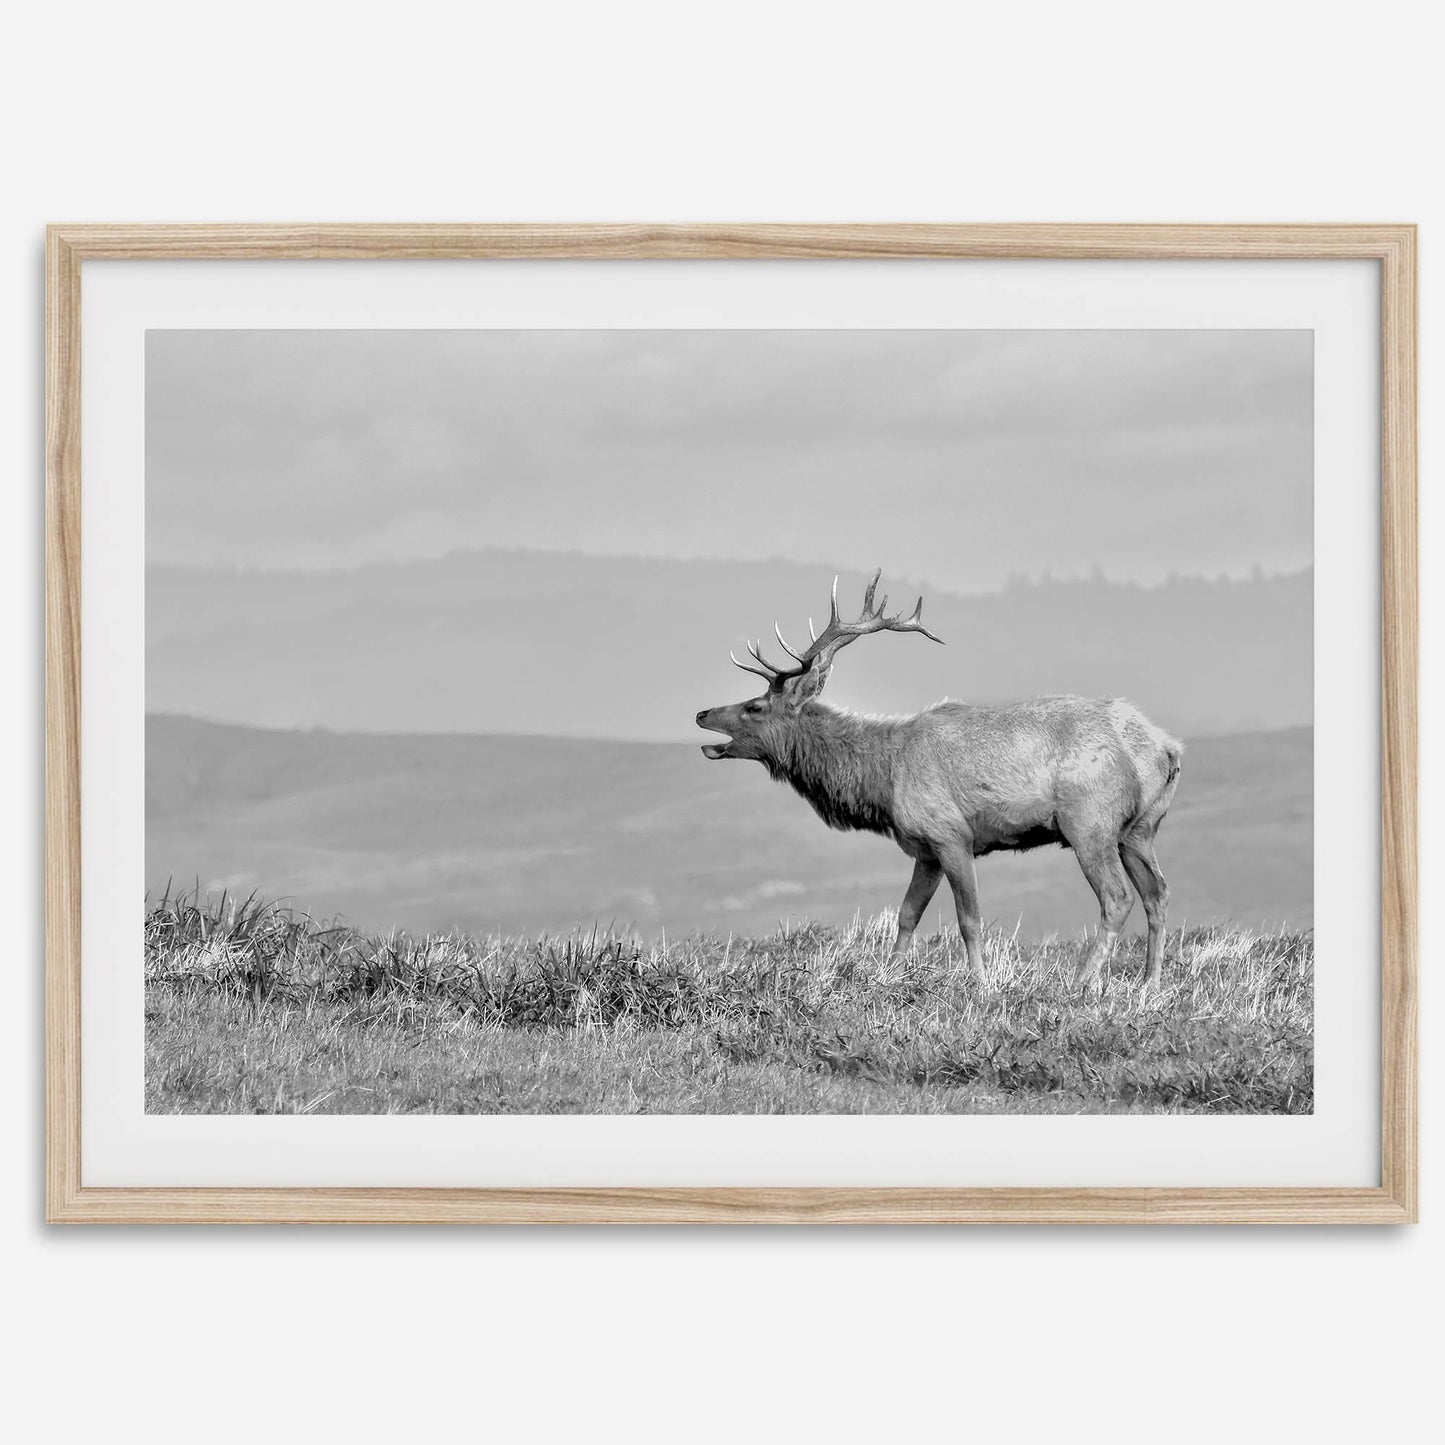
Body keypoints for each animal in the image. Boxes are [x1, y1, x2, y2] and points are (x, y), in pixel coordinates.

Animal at [695, 571, 1183, 987]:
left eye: (755, 706)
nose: (701, 712)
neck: (882, 780)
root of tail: (1166, 749)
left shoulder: (952, 836)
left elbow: (969, 919)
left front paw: (980, 984)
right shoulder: (924, 849)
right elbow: (906, 915)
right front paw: (889, 976)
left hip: (1089, 823)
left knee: (1117, 897)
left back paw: (1082, 981)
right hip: (1139, 829)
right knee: (1157, 893)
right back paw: (1150, 982)